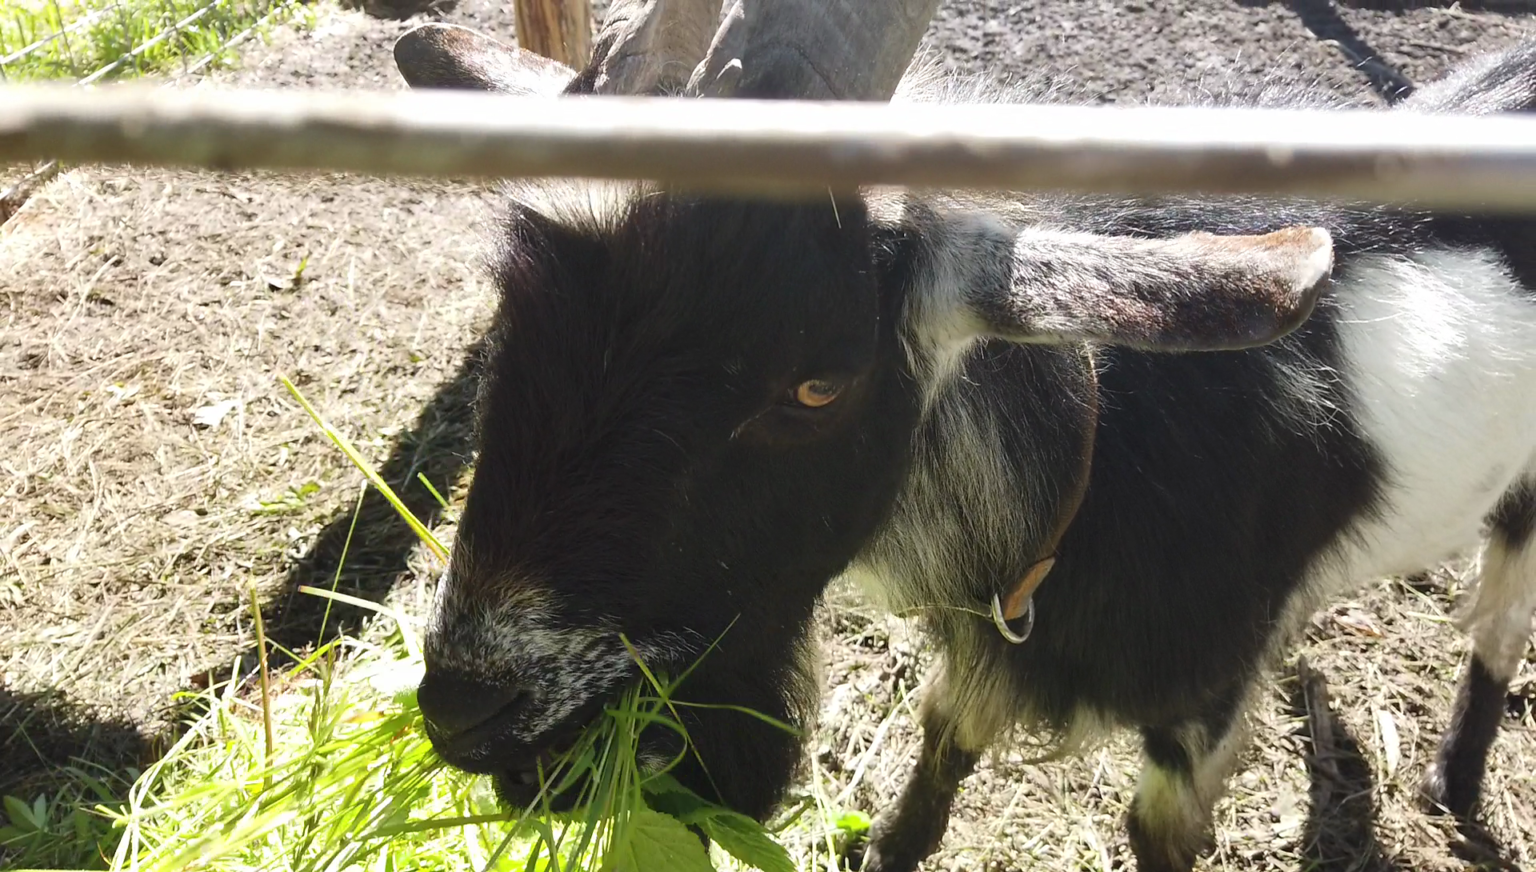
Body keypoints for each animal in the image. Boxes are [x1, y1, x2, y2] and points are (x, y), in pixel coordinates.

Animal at [394, 4, 1536, 870]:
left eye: (817, 384)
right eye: (514, 313)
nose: (465, 712)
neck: (1103, 453)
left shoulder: (1198, 714)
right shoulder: (989, 642)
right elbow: (941, 745)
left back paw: (1455, 777)